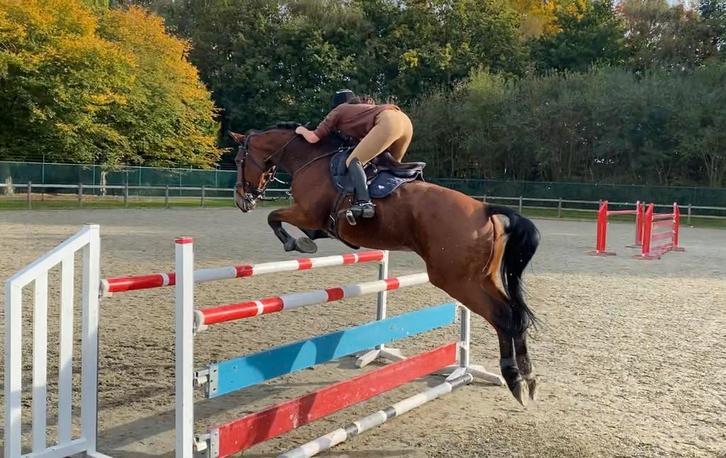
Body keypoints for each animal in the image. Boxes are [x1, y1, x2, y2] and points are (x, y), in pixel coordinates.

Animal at [229, 125, 541, 405]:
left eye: (238, 159)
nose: (241, 199)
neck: (309, 159)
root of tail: (485, 209)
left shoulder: (306, 213)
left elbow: (274, 217)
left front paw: (296, 244)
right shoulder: (316, 221)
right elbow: (303, 227)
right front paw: (307, 240)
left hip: (455, 280)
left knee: (503, 316)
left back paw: (514, 378)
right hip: (483, 277)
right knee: (516, 315)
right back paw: (528, 376)